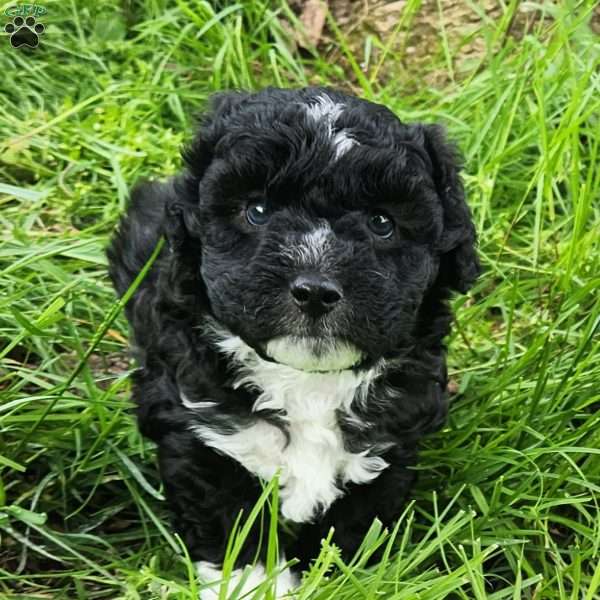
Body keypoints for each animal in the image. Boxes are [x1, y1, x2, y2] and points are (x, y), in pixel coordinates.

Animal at [106, 86, 478, 596]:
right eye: (258, 211)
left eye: (382, 222)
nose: (316, 291)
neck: (307, 381)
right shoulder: (203, 438)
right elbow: (234, 531)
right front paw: (255, 585)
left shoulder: (388, 449)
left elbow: (351, 530)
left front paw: (338, 580)